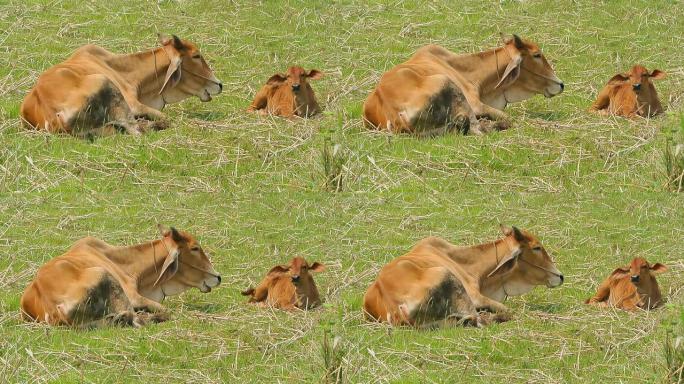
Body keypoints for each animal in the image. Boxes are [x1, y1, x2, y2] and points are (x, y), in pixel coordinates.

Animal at [19, 33, 222, 137]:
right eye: (196, 55)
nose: (219, 84)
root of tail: (53, 117)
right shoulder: (134, 104)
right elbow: (164, 119)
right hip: (105, 83)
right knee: (135, 129)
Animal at [20, 226, 222, 328]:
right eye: (195, 248)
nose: (218, 277)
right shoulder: (133, 296)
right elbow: (166, 311)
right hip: (103, 274)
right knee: (135, 317)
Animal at [360, 34, 564, 136]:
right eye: (537, 55)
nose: (561, 84)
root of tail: (395, 116)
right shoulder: (476, 104)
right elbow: (507, 118)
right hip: (447, 83)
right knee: (477, 128)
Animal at [360, 226, 564, 328]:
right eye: (536, 247)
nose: (560, 276)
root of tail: (395, 310)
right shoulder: (475, 296)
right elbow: (507, 310)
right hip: (446, 276)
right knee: (479, 319)